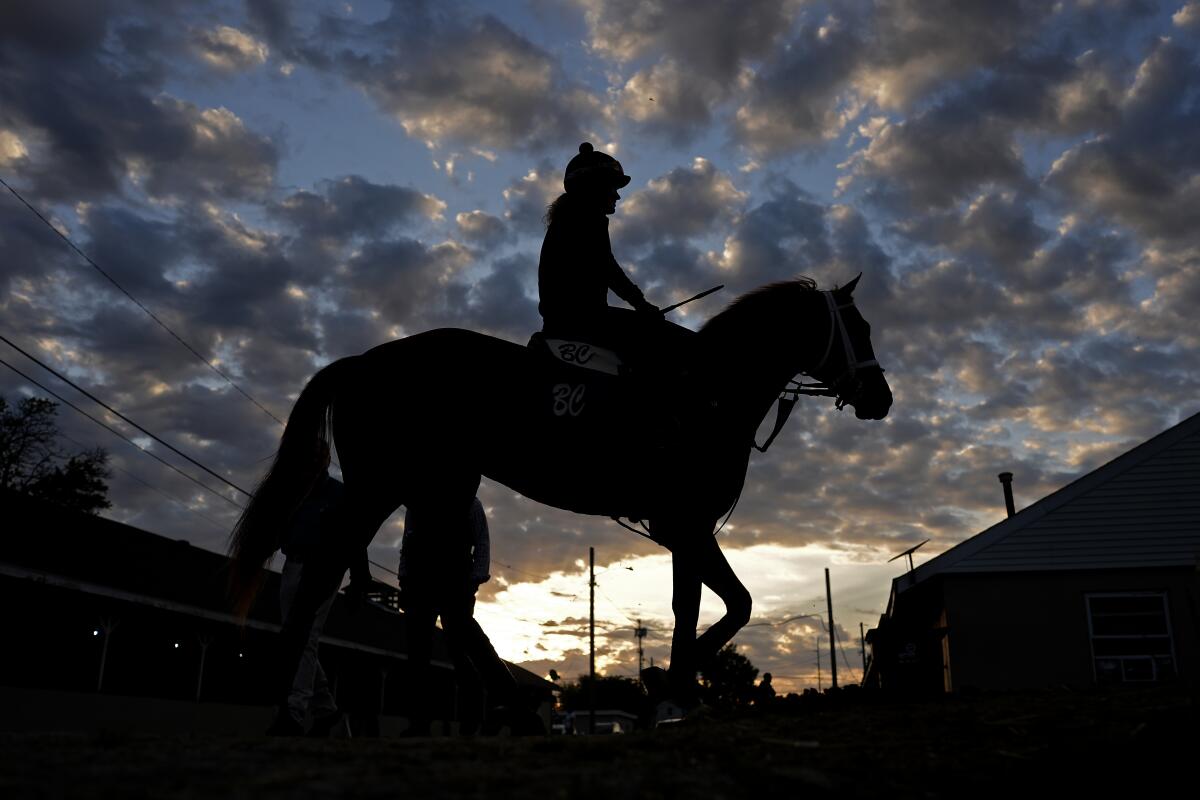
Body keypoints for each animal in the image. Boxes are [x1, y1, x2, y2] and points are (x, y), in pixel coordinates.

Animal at [231, 277, 892, 705]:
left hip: (440, 489)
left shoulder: (686, 529)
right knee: (329, 574)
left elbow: (694, 608)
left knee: (440, 600)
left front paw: (674, 691)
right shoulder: (686, 525)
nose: (881, 398)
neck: (709, 392)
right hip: (380, 486)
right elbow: (737, 603)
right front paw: (669, 685)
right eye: (858, 328)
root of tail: (361, 361)